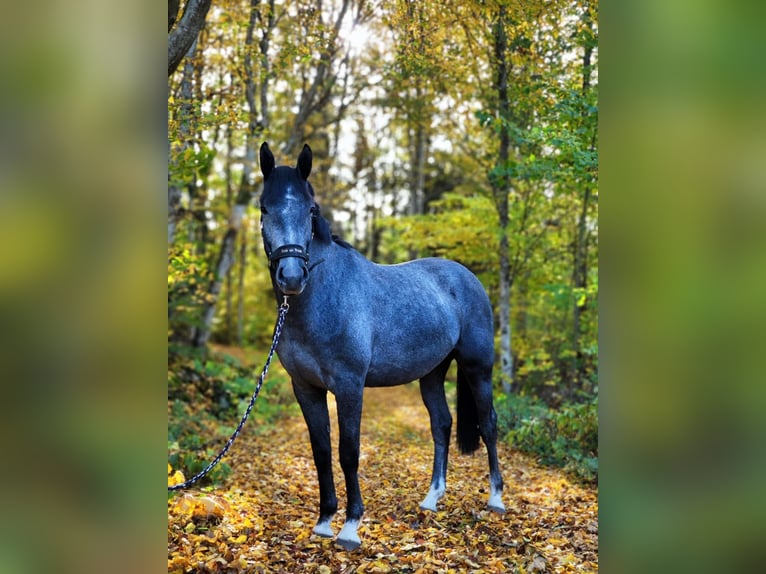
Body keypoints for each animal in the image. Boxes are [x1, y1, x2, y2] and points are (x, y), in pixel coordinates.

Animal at [260, 142, 508, 552]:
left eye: (310, 210)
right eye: (264, 208)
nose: (292, 277)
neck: (323, 298)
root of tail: (465, 276)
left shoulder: (349, 386)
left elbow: (348, 451)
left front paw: (350, 527)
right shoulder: (306, 388)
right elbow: (321, 450)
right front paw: (324, 520)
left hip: (478, 368)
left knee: (488, 424)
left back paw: (496, 498)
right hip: (432, 374)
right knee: (441, 425)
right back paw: (431, 498)